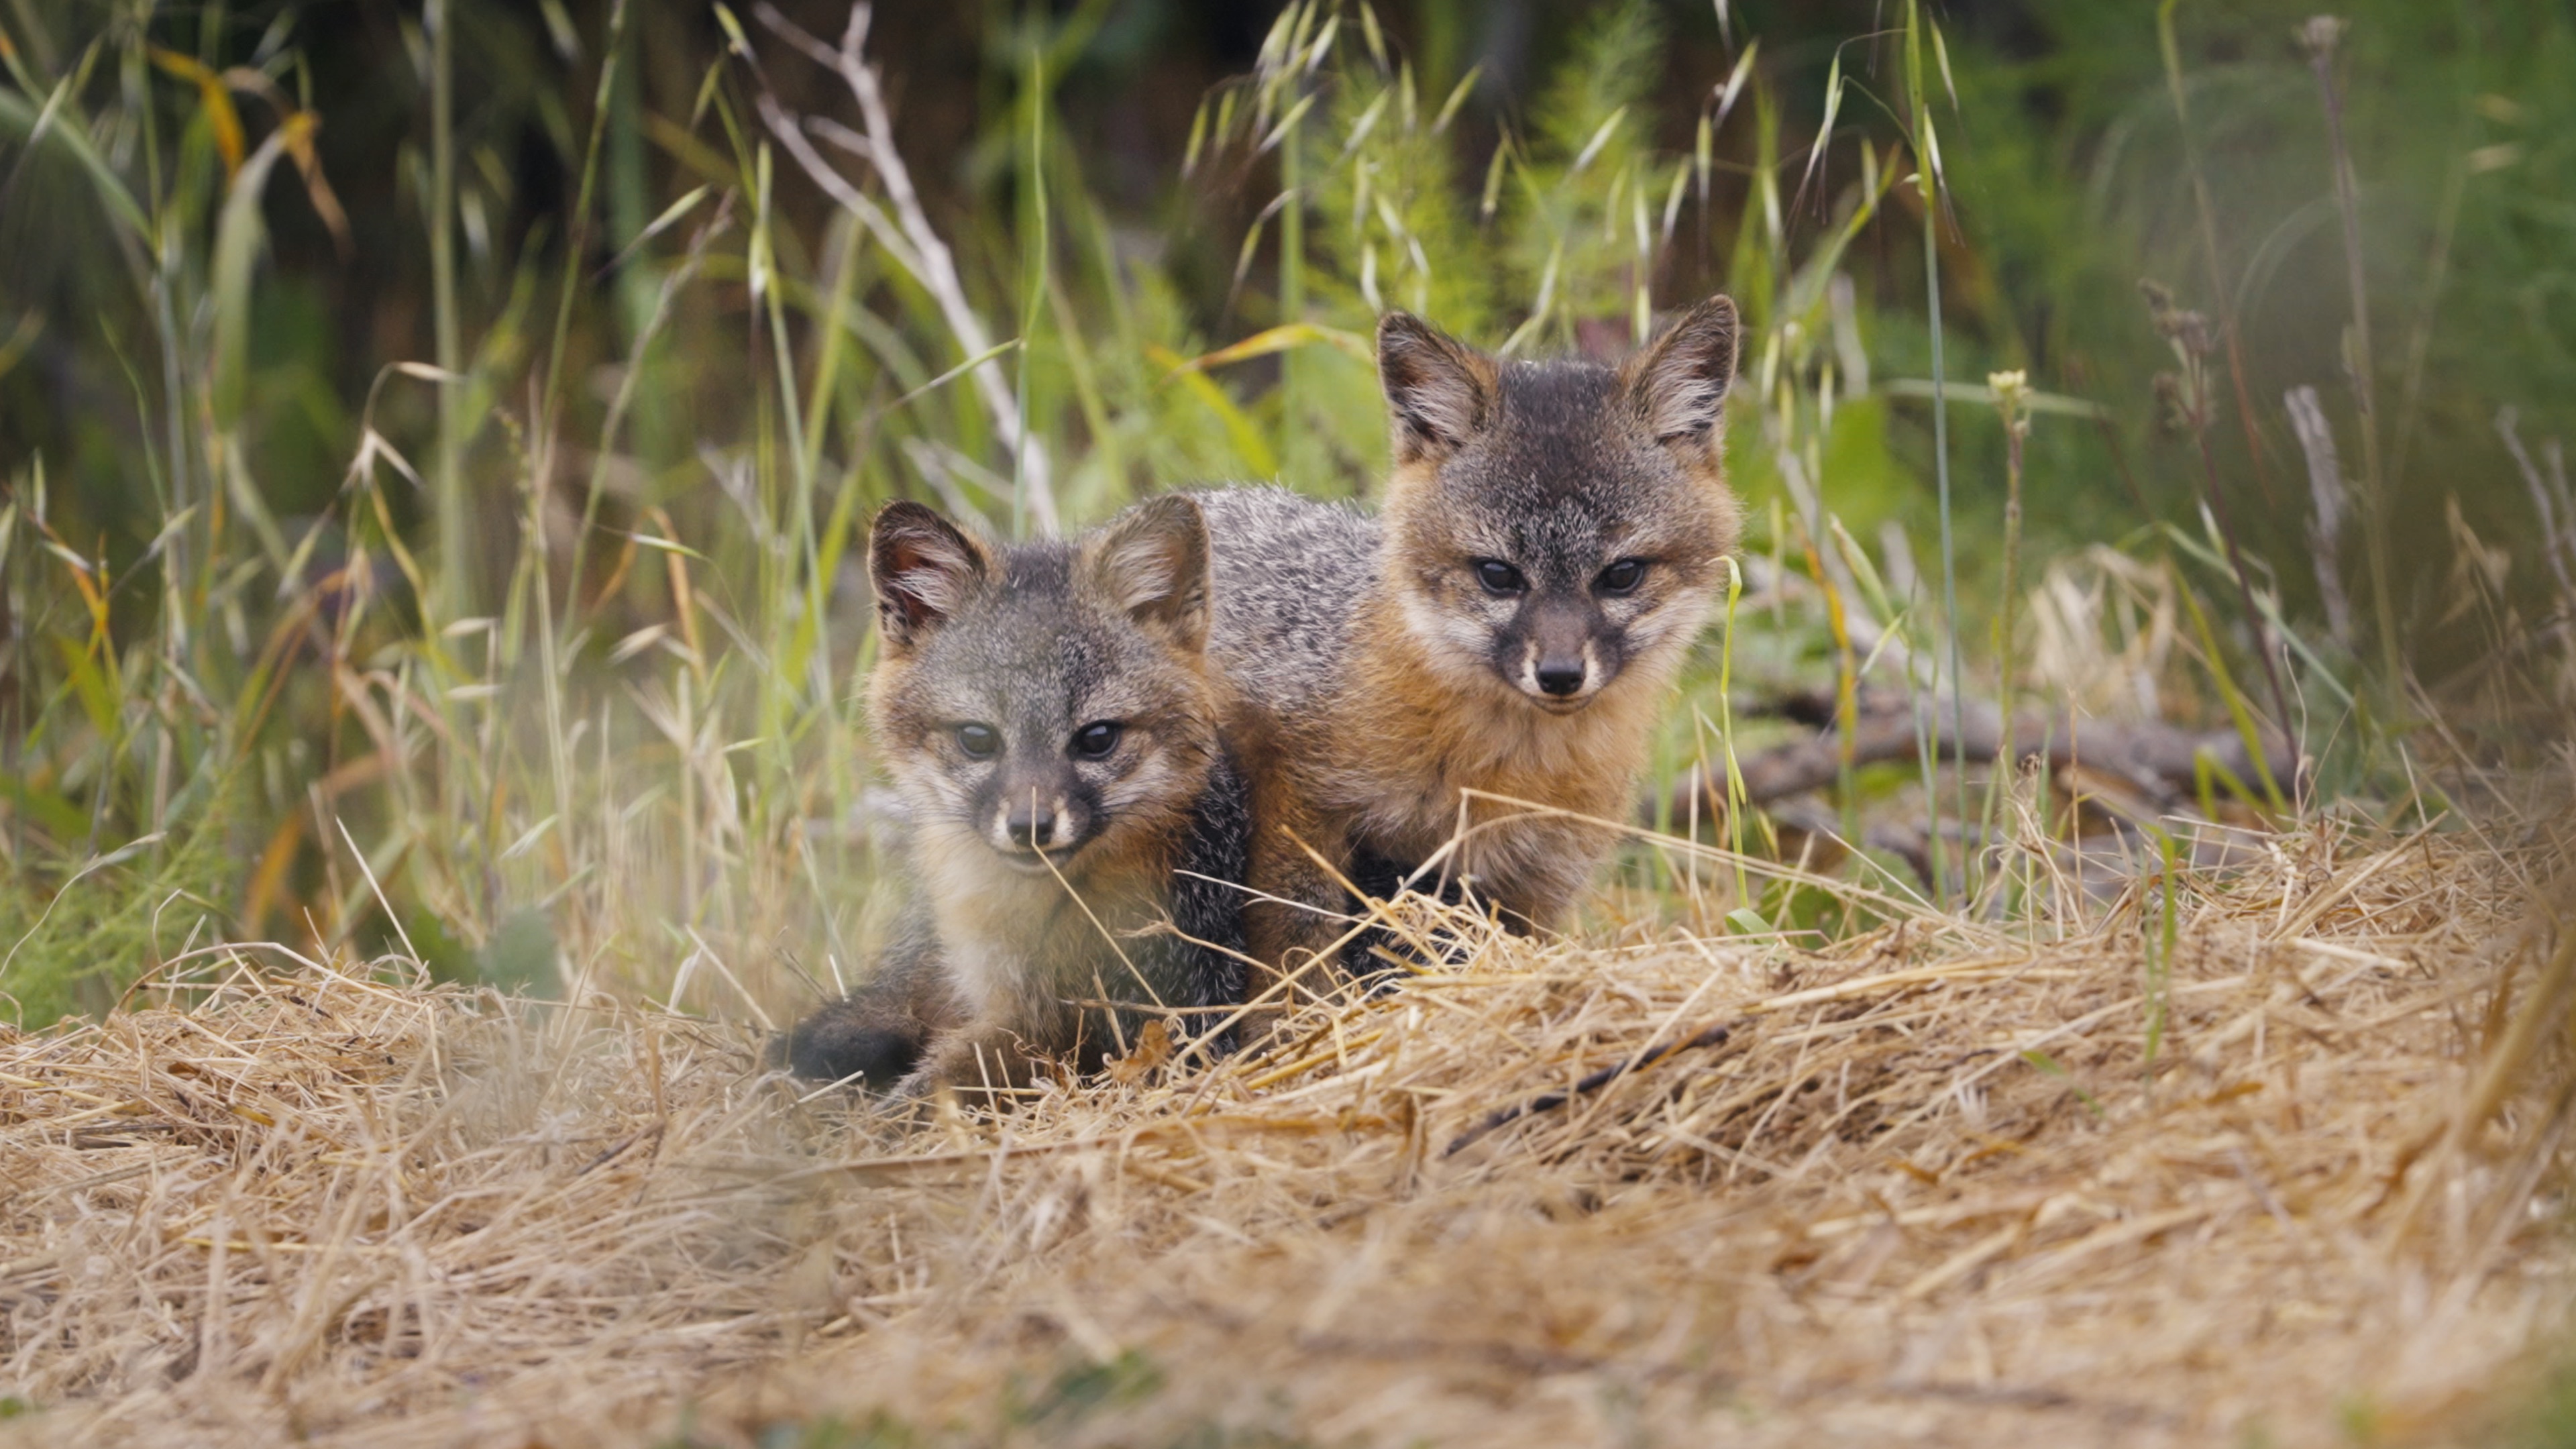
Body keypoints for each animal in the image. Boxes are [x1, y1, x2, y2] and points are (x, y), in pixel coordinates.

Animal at [1196, 294, 1741, 979]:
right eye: (1498, 575)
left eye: (1621, 575)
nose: (1559, 675)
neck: (1508, 770)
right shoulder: (1297, 796)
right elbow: (1299, 949)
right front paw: (1300, 1010)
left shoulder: (1538, 879)